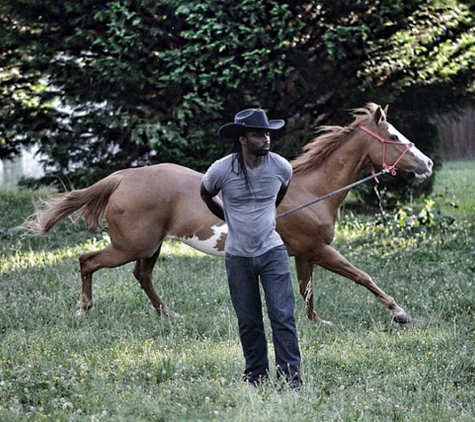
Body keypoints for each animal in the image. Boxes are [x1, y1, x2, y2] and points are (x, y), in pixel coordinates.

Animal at [22, 104, 434, 324]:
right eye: (393, 137)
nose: (427, 163)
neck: (313, 191)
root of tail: (126, 176)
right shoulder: (319, 250)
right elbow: (362, 276)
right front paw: (399, 312)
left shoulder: (305, 254)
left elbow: (307, 291)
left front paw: (317, 322)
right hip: (130, 245)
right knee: (87, 260)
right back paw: (83, 309)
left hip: (150, 246)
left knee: (142, 275)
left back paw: (168, 315)